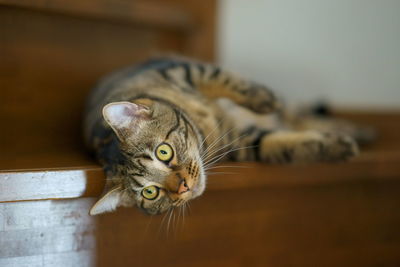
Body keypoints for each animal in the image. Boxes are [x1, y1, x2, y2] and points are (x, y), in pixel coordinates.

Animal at [83, 56, 374, 216]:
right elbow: (282, 145)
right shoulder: (242, 141)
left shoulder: (182, 68)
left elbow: (226, 80)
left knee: (301, 115)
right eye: (151, 192)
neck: (205, 126)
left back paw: (359, 129)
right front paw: (334, 147)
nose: (183, 187)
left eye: (164, 152)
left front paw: (265, 100)